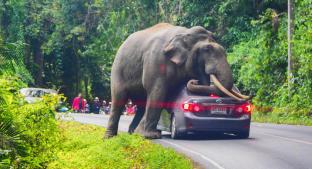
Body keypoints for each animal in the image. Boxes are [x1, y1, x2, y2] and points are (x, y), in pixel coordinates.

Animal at [103, 22, 250, 139]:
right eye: (207, 49)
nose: (193, 81)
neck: (185, 33)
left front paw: (145, 134)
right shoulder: (156, 60)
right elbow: (158, 92)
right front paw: (152, 136)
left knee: (141, 104)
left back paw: (133, 133)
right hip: (118, 70)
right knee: (119, 98)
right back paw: (110, 138)